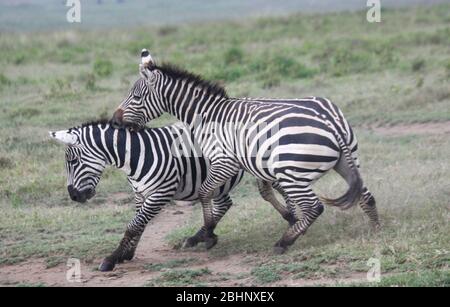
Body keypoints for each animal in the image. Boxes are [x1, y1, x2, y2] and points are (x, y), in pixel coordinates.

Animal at [49, 120, 298, 272]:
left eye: (73, 161)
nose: (74, 196)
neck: (136, 155)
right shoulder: (140, 194)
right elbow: (138, 225)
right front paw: (127, 253)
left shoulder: (161, 193)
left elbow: (134, 225)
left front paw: (112, 258)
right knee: (226, 203)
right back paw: (201, 236)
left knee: (281, 187)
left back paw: (293, 218)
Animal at [110, 49, 378, 254]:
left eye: (135, 96)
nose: (114, 120)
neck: (207, 114)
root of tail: (330, 122)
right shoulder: (250, 163)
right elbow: (259, 193)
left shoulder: (225, 161)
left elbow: (205, 192)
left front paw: (207, 234)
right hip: (347, 161)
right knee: (365, 195)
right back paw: (375, 229)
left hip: (291, 172)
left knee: (315, 207)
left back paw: (283, 243)